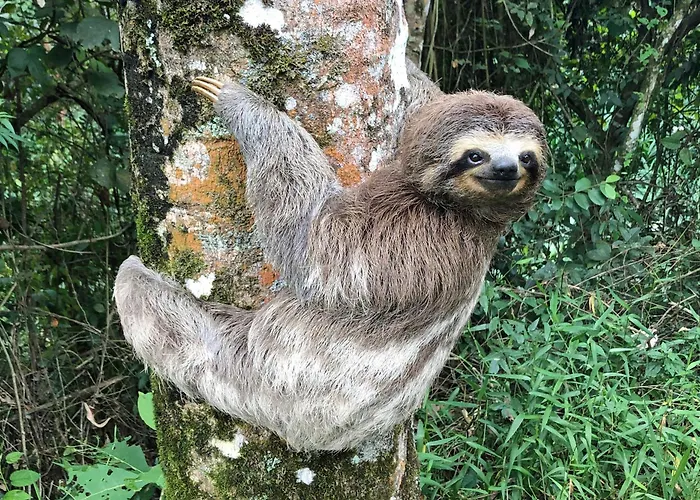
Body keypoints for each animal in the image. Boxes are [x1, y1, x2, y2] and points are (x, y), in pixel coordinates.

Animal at [114, 68, 547, 451]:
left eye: (527, 158)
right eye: (475, 155)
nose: (506, 168)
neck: (467, 215)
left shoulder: (406, 237)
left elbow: (314, 243)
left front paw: (238, 100)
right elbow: (424, 108)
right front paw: (412, 70)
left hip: (263, 382)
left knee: (162, 312)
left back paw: (133, 271)